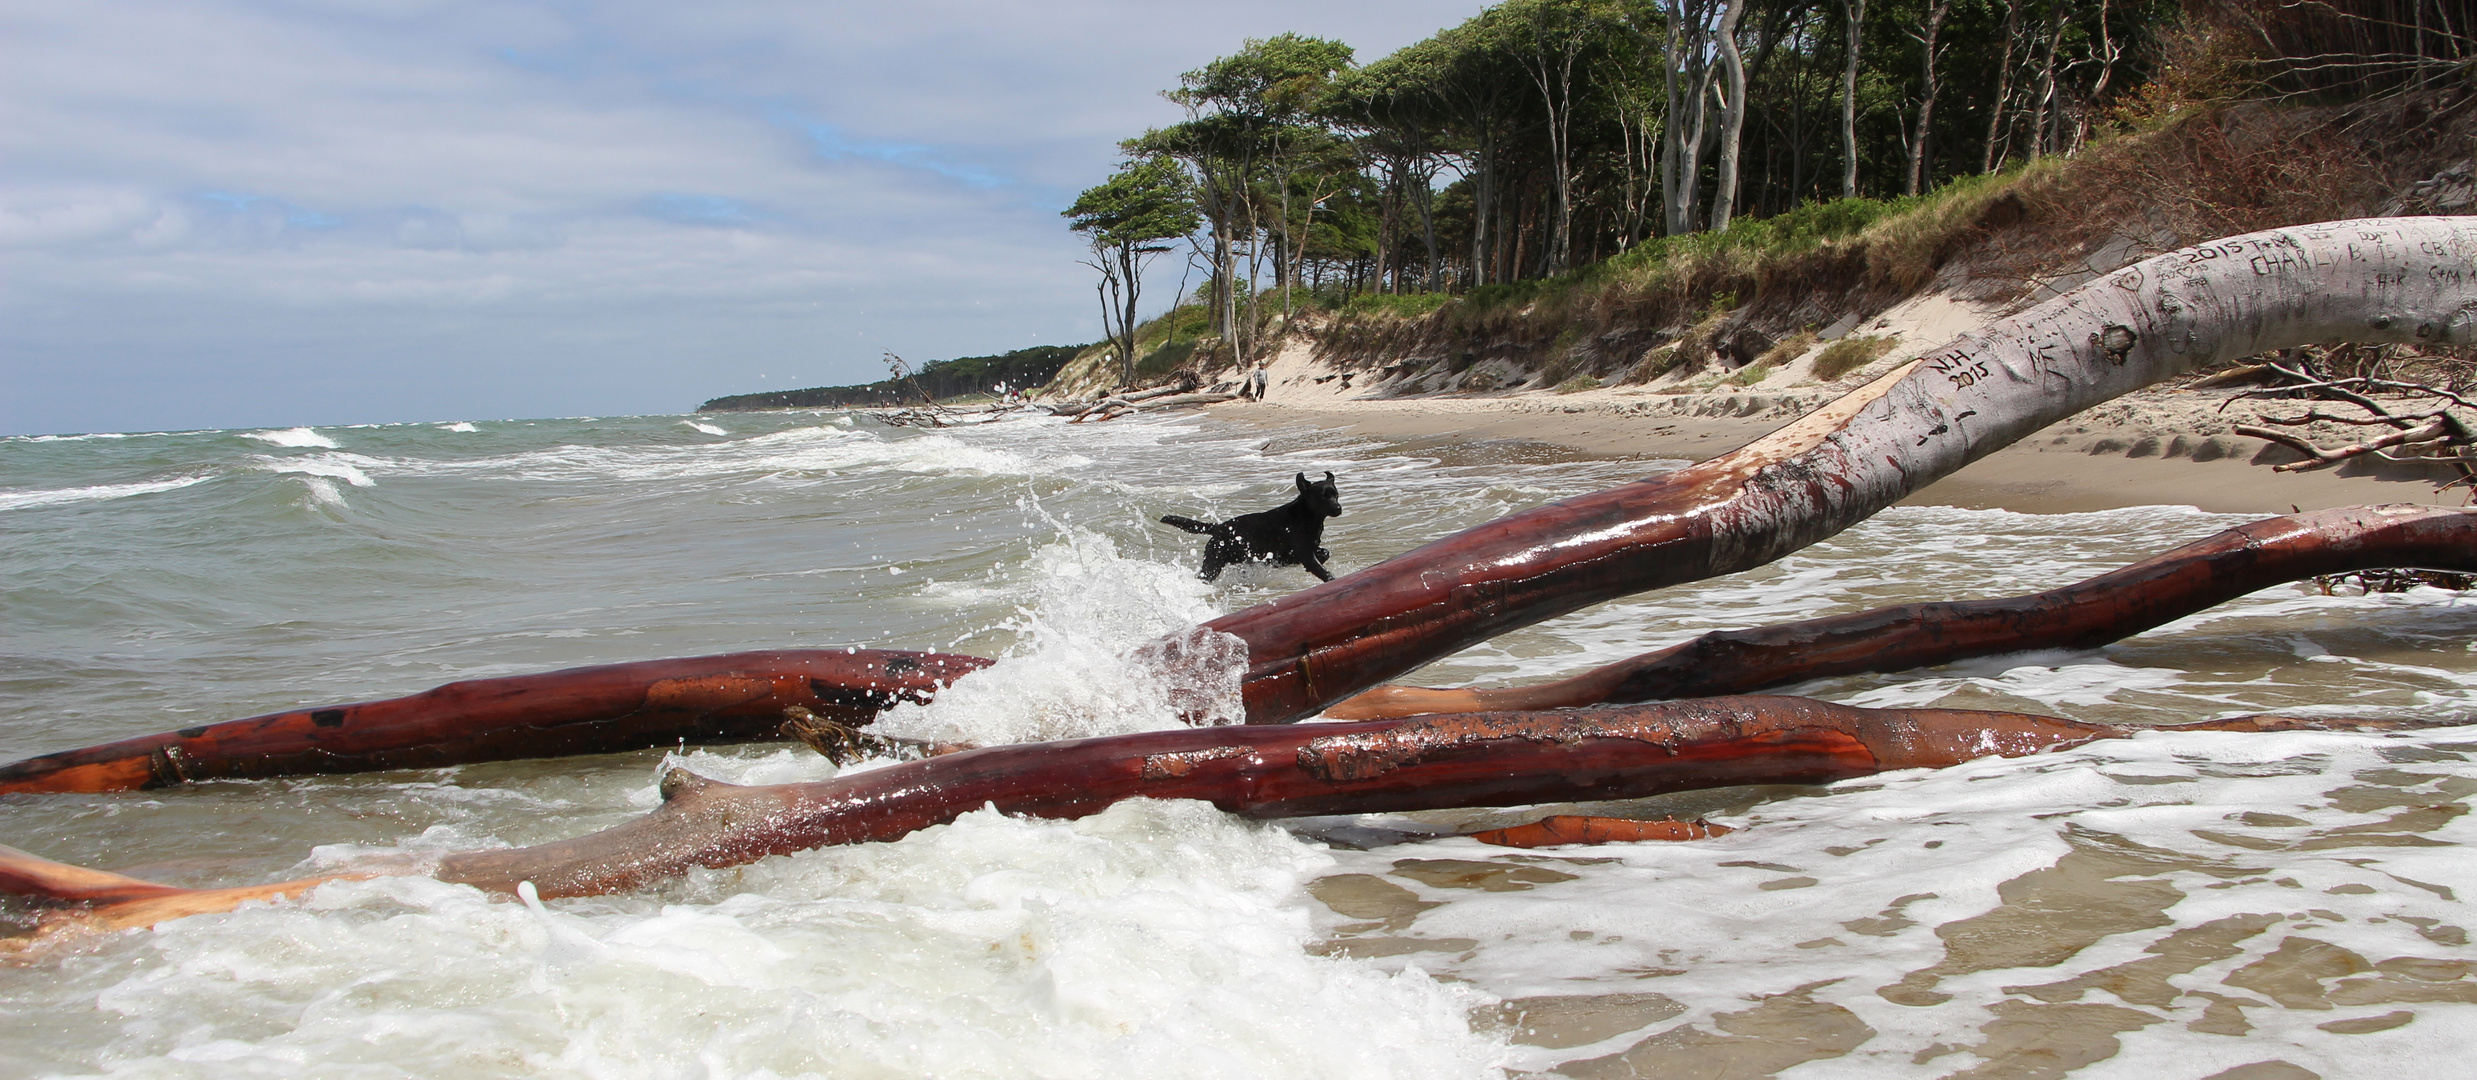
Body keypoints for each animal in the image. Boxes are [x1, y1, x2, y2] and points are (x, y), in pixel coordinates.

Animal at [1164, 468, 1347, 577]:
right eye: (1323, 497)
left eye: (1336, 495)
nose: (1338, 508)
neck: (1306, 516)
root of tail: (1219, 527)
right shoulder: (1306, 554)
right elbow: (1324, 572)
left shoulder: (1307, 550)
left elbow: (1324, 553)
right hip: (1213, 564)